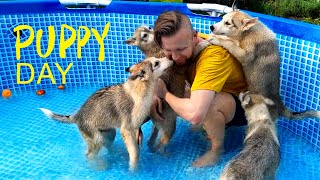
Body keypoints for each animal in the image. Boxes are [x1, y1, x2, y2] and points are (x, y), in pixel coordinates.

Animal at [39, 57, 172, 171]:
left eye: (156, 59)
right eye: (156, 63)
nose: (170, 58)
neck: (140, 88)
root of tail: (77, 115)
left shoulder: (134, 128)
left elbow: (135, 147)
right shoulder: (126, 129)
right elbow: (134, 153)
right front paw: (133, 169)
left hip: (109, 133)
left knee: (108, 148)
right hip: (96, 140)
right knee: (89, 155)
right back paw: (99, 166)